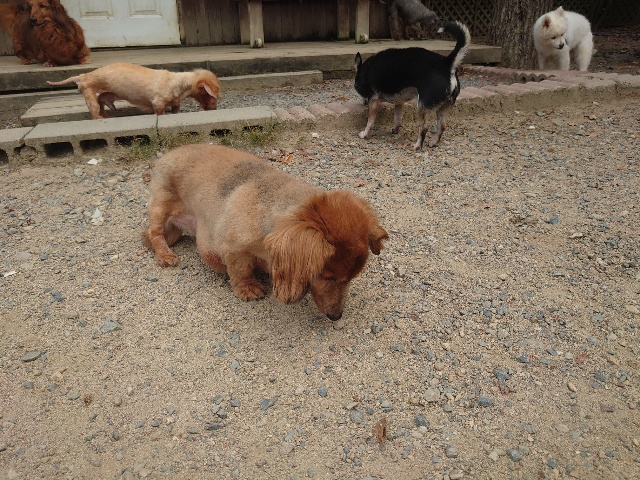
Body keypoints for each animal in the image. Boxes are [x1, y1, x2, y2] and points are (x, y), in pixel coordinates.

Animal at [46, 62, 220, 119]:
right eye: (214, 96)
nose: (215, 109)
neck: (180, 85)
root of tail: (82, 76)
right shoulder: (158, 103)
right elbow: (160, 113)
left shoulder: (175, 103)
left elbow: (175, 110)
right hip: (90, 93)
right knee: (95, 112)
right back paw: (102, 119)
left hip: (108, 93)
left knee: (102, 101)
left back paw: (109, 115)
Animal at [143, 144, 388, 321]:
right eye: (328, 277)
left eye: (351, 279)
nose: (336, 316)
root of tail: (166, 155)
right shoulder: (230, 247)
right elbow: (239, 269)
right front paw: (247, 288)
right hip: (160, 204)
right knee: (155, 233)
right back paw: (164, 255)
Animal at [354, 21, 470, 149]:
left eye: (357, 87)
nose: (364, 103)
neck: (366, 70)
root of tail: (446, 64)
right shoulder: (399, 102)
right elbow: (397, 117)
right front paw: (395, 130)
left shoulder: (373, 100)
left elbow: (370, 121)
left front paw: (365, 134)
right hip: (442, 108)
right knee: (442, 126)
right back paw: (433, 142)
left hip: (421, 107)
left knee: (424, 128)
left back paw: (417, 146)